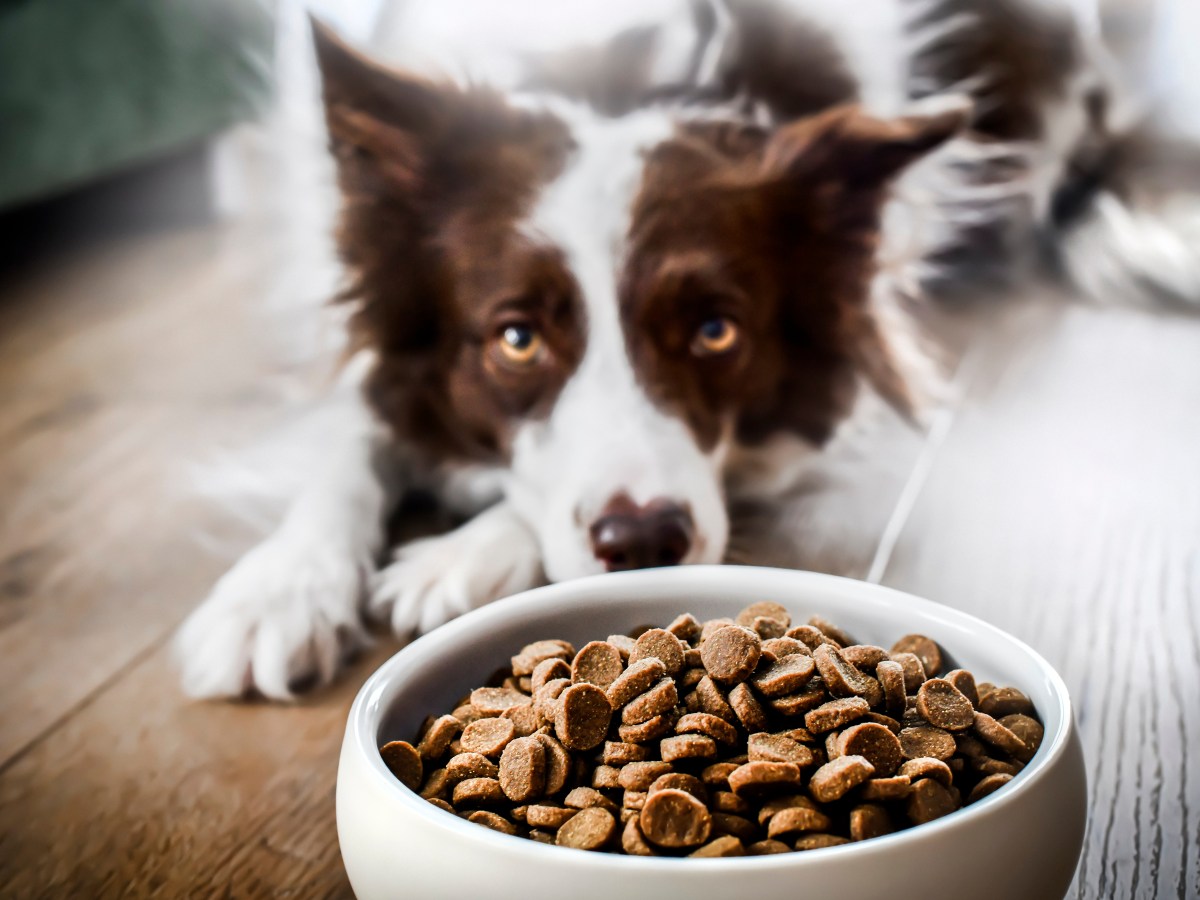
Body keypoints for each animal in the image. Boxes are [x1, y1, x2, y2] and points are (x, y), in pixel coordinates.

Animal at [175, 0, 1200, 700]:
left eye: (716, 331)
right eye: (516, 338)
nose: (645, 544)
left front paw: (462, 553)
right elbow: (355, 433)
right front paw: (277, 589)